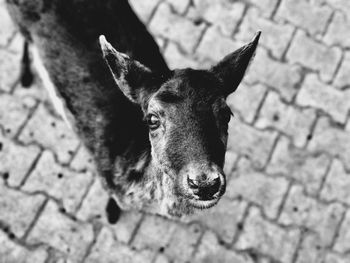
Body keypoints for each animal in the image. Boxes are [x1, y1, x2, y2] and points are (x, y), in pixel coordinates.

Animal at [5, 0, 262, 221]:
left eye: (226, 114)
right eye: (152, 119)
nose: (205, 183)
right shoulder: (106, 178)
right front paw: (111, 212)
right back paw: (25, 75)